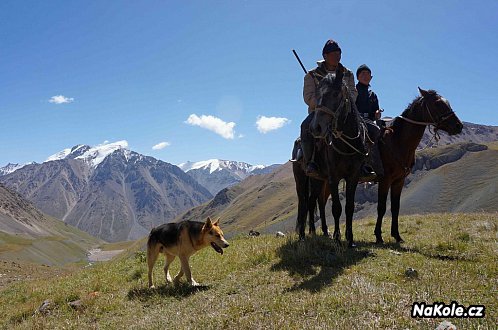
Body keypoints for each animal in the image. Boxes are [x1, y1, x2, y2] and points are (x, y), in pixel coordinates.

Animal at [376, 87, 464, 242]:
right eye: (437, 104)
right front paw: (378, 236)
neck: (397, 142)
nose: (459, 126)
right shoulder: (384, 180)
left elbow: (395, 207)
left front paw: (397, 235)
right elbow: (381, 208)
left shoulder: (399, 181)